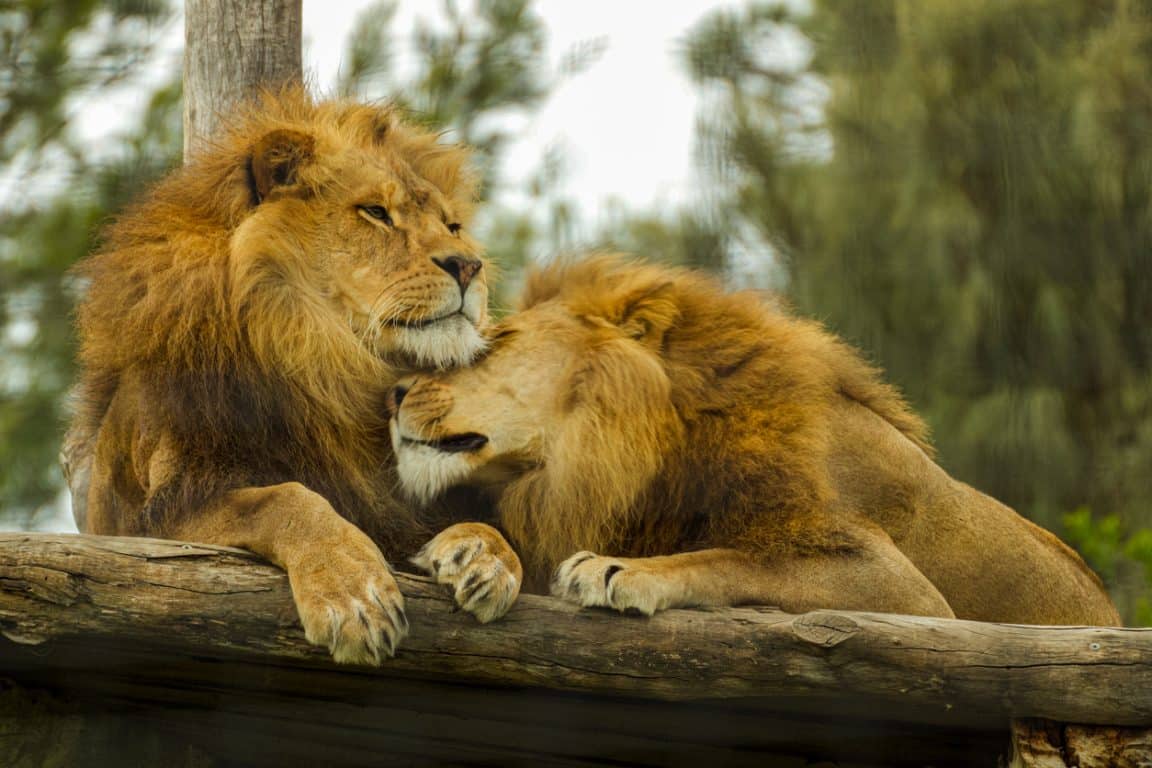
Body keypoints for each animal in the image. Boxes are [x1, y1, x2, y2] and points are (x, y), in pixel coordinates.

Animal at [67, 88, 491, 664]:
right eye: (376, 212)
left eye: (452, 226)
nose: (469, 266)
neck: (319, 359)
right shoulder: (149, 524)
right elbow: (283, 498)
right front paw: (353, 597)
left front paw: (485, 553)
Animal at [391, 256, 1121, 627]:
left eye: (496, 343)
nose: (393, 392)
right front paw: (473, 552)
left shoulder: (906, 593)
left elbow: (740, 561)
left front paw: (617, 569)